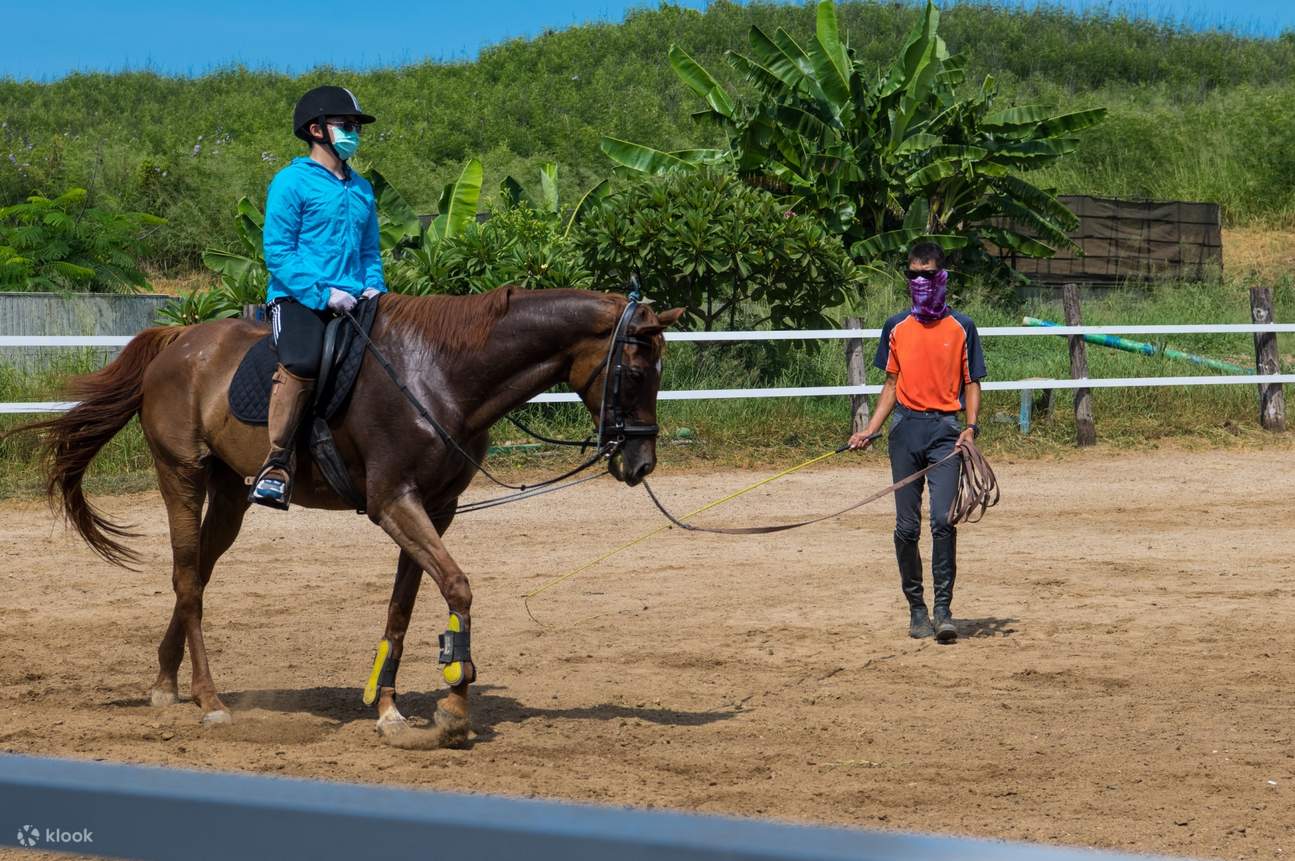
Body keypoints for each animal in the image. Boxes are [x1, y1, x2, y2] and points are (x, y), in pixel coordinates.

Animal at [15, 287, 683, 749]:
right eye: (634, 369)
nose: (641, 462)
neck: (440, 375)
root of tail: (179, 341)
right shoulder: (394, 504)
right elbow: (458, 586)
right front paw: (453, 707)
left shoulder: (434, 509)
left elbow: (403, 607)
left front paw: (389, 710)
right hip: (181, 476)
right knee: (185, 578)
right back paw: (209, 700)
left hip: (230, 495)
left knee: (196, 578)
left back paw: (165, 683)